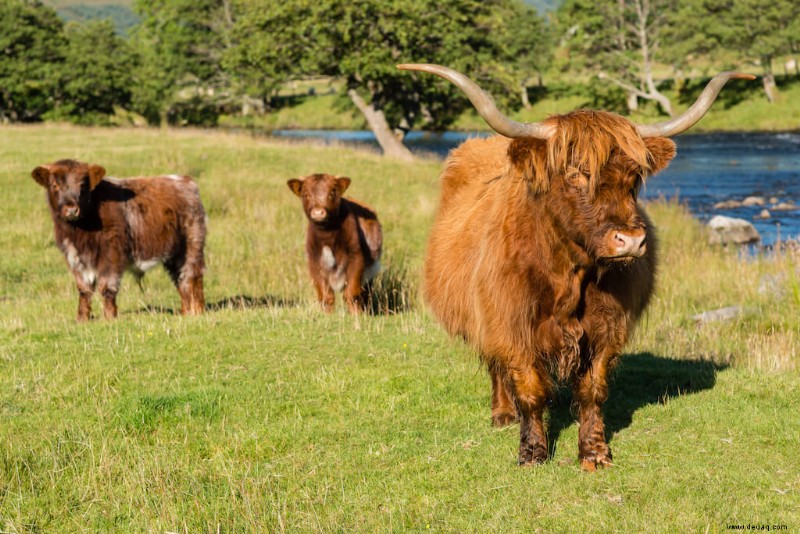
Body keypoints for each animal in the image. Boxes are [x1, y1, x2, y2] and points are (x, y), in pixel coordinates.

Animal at [31, 160, 206, 322]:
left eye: (82, 185)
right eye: (54, 185)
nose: (72, 210)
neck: (79, 232)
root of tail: (186, 181)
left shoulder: (111, 254)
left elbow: (107, 286)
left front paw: (109, 317)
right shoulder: (74, 258)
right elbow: (84, 289)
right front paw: (82, 319)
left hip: (191, 247)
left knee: (192, 277)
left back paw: (197, 311)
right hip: (174, 254)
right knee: (181, 280)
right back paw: (185, 312)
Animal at [288, 174, 382, 312]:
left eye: (332, 192)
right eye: (306, 194)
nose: (318, 212)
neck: (327, 235)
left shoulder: (356, 257)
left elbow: (351, 294)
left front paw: (356, 314)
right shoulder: (314, 261)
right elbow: (326, 296)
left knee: (365, 294)